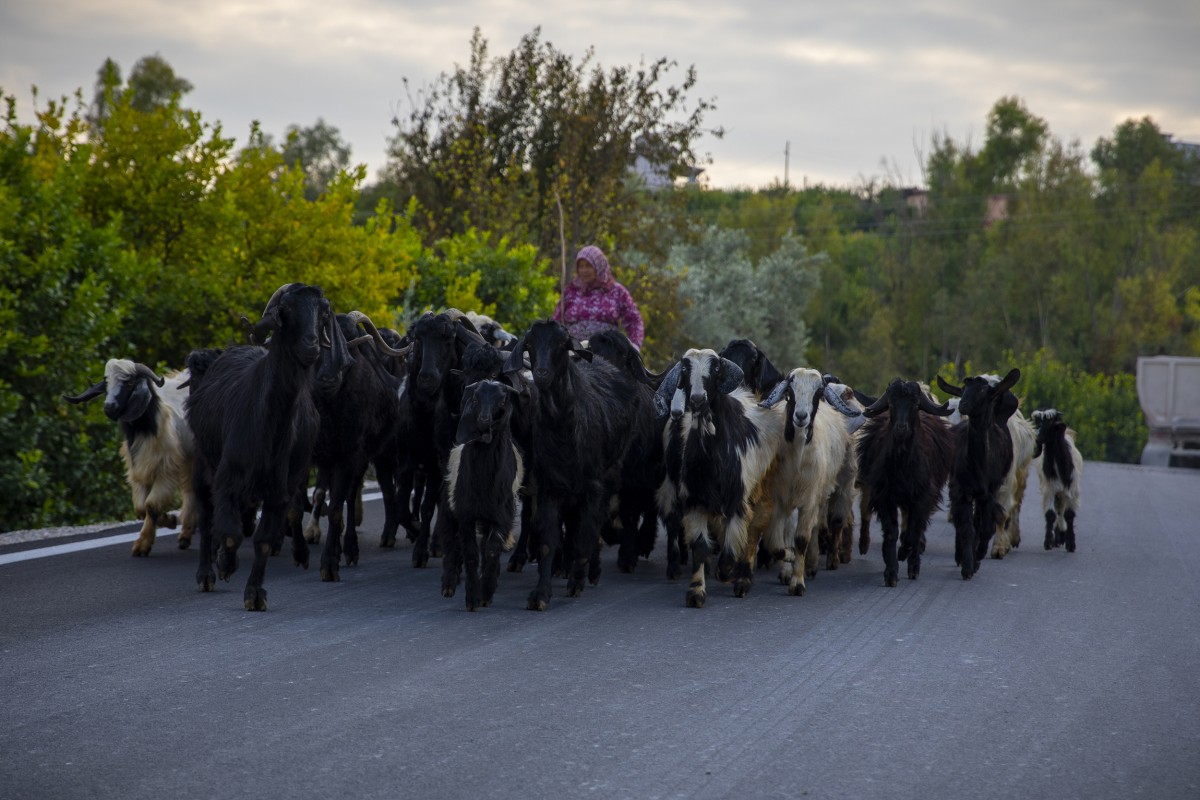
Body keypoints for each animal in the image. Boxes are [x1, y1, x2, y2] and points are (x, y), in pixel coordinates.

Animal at [184, 284, 350, 609]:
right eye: (286, 310)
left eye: (322, 312)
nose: (311, 345)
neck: (270, 425)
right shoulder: (227, 479)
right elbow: (230, 533)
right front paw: (225, 563)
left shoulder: (280, 489)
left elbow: (262, 541)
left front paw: (255, 594)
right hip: (203, 464)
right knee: (207, 516)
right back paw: (206, 573)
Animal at [854, 379, 955, 585]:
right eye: (891, 403)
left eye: (915, 404)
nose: (901, 428)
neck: (903, 464)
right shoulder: (885, 497)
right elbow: (892, 532)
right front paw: (891, 572)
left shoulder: (922, 497)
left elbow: (913, 531)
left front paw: (912, 565)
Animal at [936, 369, 1022, 582]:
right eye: (964, 389)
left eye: (984, 391)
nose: (964, 404)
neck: (978, 464)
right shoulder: (961, 490)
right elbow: (968, 527)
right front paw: (968, 565)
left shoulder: (989, 492)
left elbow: (985, 526)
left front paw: (978, 556)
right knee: (962, 521)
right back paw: (960, 555)